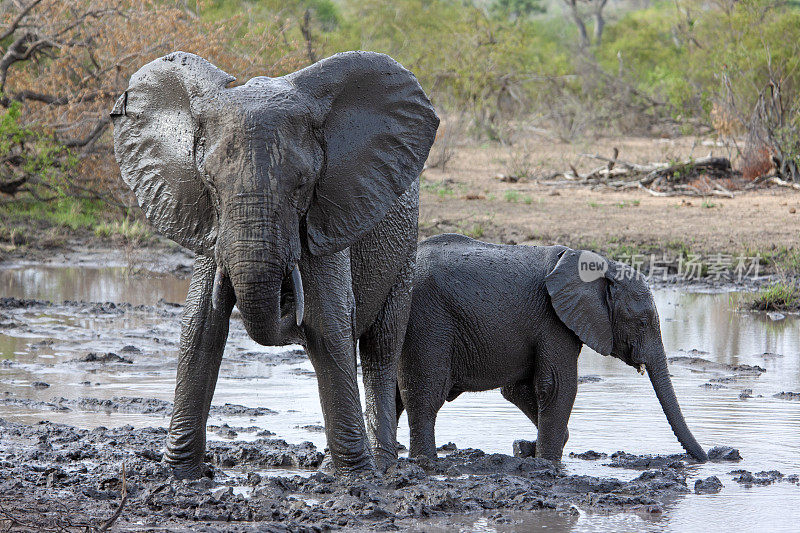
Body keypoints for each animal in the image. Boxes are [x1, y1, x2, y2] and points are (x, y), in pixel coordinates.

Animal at [108, 52, 438, 478]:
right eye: (209, 182)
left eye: (302, 185)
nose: (286, 300)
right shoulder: (211, 227)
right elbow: (200, 326)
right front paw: (179, 475)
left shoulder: (327, 216)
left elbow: (329, 325)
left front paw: (356, 478)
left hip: (404, 249)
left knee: (380, 350)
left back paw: (380, 465)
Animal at [398, 233, 708, 462]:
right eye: (642, 323)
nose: (706, 457)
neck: (599, 265)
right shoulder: (553, 320)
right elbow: (557, 385)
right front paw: (546, 463)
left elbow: (518, 389)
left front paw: (524, 448)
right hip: (428, 317)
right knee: (425, 392)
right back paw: (424, 463)